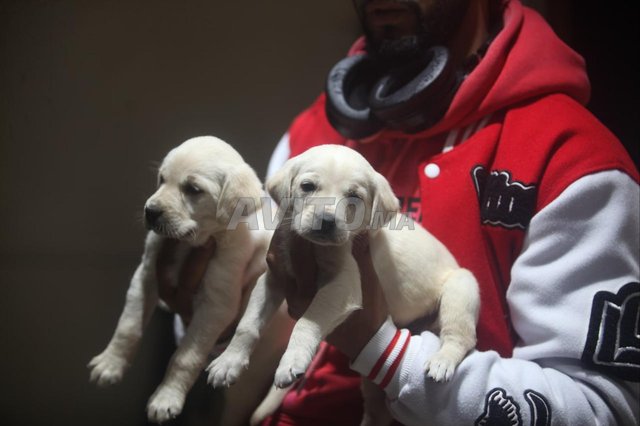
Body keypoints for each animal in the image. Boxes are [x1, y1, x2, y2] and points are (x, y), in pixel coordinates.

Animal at [88, 136, 275, 423]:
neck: (189, 245)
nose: (150, 211)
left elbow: (185, 357)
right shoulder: (145, 276)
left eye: (193, 189)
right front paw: (110, 363)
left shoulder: (215, 305)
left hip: (246, 381)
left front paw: (166, 398)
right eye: (161, 179)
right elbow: (128, 326)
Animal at [207, 144, 481, 425]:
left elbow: (307, 322)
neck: (314, 247)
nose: (326, 222)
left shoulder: (343, 284)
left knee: (462, 337)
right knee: (377, 410)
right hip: (372, 383)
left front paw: (291, 361)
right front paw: (229, 361)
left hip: (461, 287)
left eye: (354, 196)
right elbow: (247, 325)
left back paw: (442, 361)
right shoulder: (272, 278)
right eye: (307, 186)